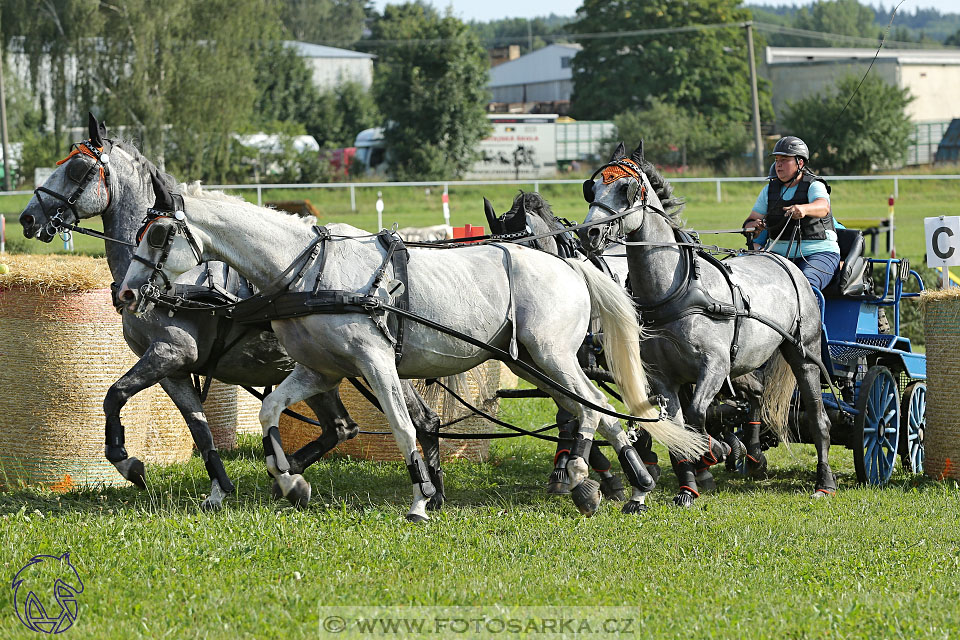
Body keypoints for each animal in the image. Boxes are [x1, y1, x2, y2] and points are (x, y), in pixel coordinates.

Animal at [17, 114, 446, 510]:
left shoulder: (171, 353)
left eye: (76, 168)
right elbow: (200, 429)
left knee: (409, 421)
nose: (27, 217)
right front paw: (219, 489)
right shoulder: (171, 369)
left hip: (363, 365)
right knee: (344, 427)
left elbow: (114, 394)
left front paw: (127, 462)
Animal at [118, 184, 704, 520]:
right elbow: (269, 411)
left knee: (592, 406)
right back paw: (619, 485)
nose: (125, 293)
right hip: (530, 361)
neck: (309, 270)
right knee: (589, 411)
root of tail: (570, 264)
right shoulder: (320, 370)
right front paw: (290, 481)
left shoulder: (376, 363)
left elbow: (402, 426)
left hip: (553, 356)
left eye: (159, 234)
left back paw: (616, 482)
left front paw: (422, 498)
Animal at [572, 144, 836, 504]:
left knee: (817, 416)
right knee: (757, 396)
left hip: (803, 354)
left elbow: (698, 414)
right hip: (749, 362)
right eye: (593, 187)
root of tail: (783, 260)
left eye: (627, 189)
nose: (589, 232)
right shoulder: (662, 378)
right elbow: (679, 426)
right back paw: (753, 455)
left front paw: (715, 451)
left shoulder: (714, 364)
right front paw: (688, 487)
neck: (672, 290)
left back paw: (824, 481)